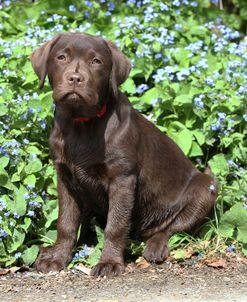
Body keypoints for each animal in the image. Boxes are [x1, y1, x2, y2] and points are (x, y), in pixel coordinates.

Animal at [31, 32, 218, 276]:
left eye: (96, 61)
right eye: (61, 57)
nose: (75, 78)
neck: (81, 123)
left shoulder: (122, 178)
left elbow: (116, 224)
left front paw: (109, 262)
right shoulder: (65, 178)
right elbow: (66, 223)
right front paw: (58, 258)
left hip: (206, 191)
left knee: (169, 229)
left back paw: (155, 247)